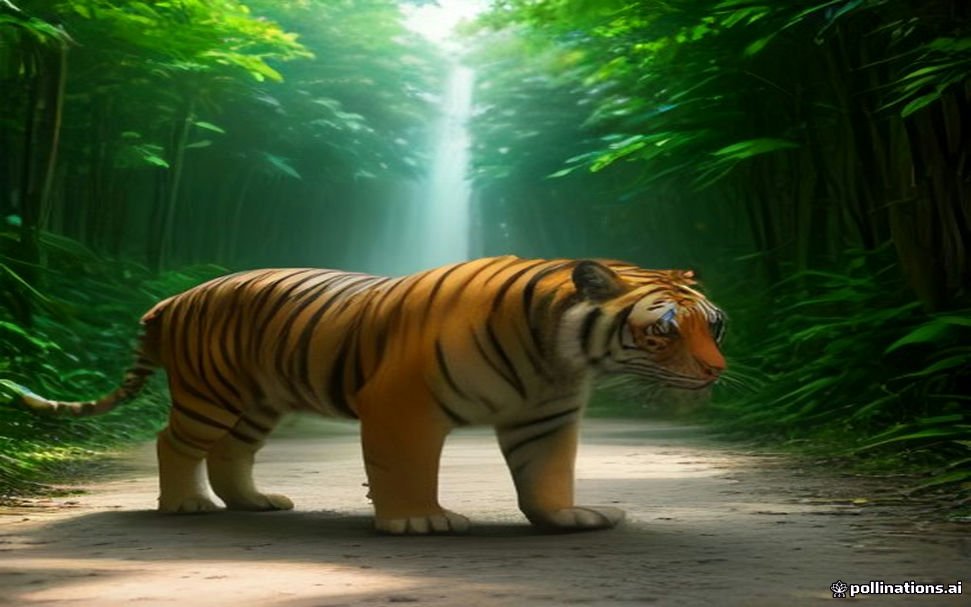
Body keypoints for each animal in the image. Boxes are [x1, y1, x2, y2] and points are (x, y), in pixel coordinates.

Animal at [16, 255, 726, 534]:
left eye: (713, 326)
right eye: (664, 330)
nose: (718, 372)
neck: (560, 356)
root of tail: (172, 299)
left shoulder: (545, 417)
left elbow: (547, 474)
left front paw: (565, 518)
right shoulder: (401, 405)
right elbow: (403, 468)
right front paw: (420, 521)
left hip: (257, 400)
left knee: (230, 452)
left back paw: (254, 503)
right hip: (209, 394)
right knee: (174, 442)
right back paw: (185, 506)